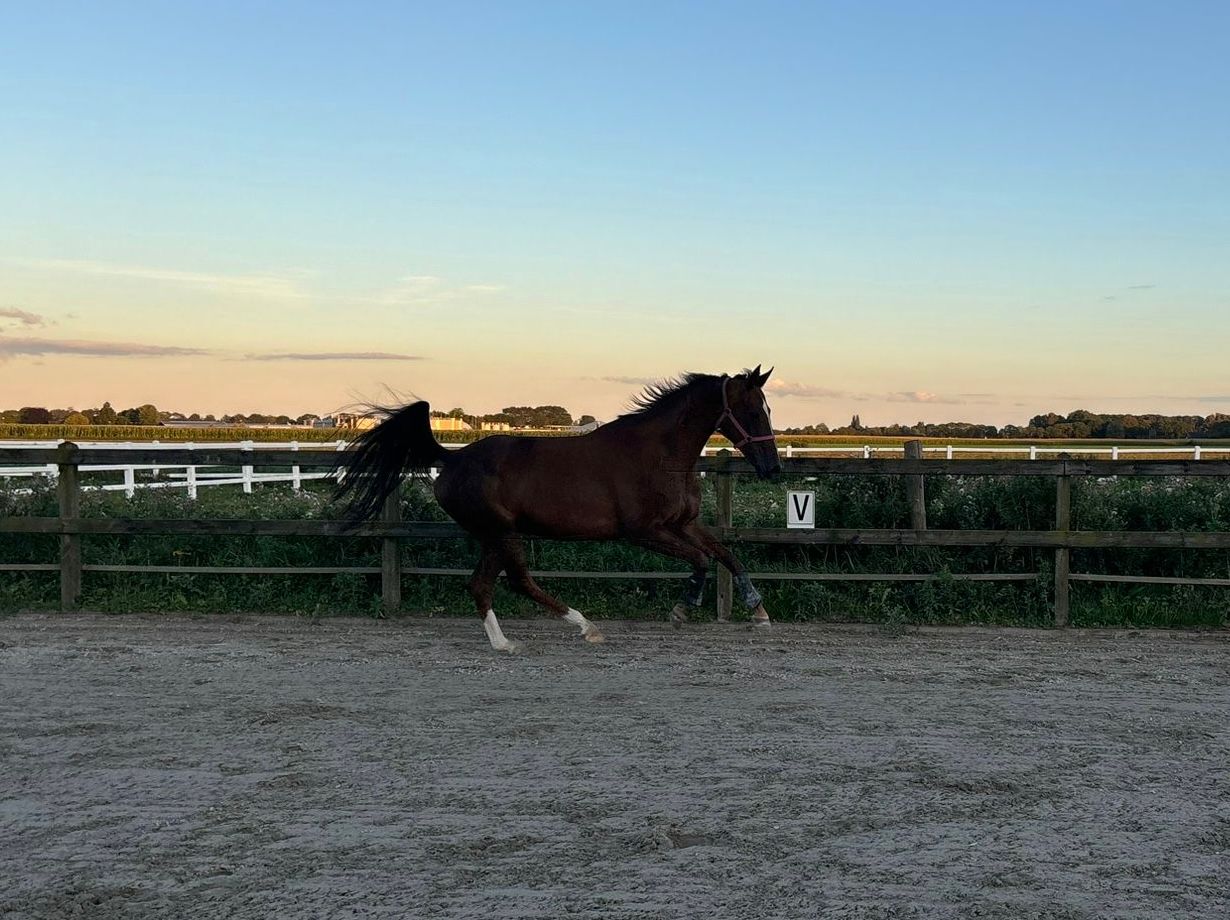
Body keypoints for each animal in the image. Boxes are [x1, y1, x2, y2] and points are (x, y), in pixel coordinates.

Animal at [335, 366, 782, 651]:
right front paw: (682, 609)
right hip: (501, 532)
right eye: (752, 410)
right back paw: (581, 627)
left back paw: (505, 643)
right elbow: (702, 561)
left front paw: (758, 609)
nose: (773, 468)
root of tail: (452, 458)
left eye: (767, 408)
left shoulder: (685, 523)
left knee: (483, 584)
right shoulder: (644, 532)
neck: (660, 455)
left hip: (494, 536)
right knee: (516, 581)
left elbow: (727, 555)